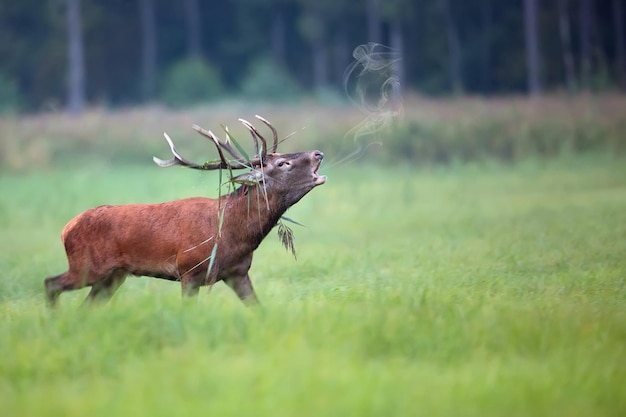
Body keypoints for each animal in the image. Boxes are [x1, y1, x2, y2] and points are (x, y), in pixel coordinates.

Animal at [44, 115, 326, 308]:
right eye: (283, 163)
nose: (318, 153)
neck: (233, 233)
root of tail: (65, 229)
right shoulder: (190, 270)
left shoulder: (237, 272)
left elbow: (258, 308)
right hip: (87, 266)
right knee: (50, 283)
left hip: (112, 276)